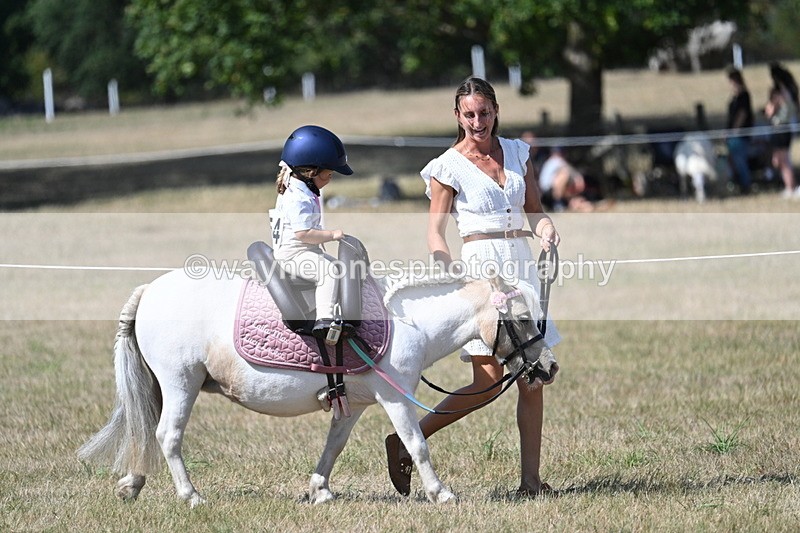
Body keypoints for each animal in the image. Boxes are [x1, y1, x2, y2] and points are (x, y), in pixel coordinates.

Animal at [77, 268, 557, 506]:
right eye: (520, 319)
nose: (549, 368)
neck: (409, 324)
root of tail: (150, 291)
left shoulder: (357, 403)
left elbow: (334, 446)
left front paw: (320, 490)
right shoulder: (394, 399)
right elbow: (417, 444)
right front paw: (441, 493)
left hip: (163, 386)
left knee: (146, 431)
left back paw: (132, 484)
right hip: (181, 382)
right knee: (167, 436)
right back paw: (190, 496)